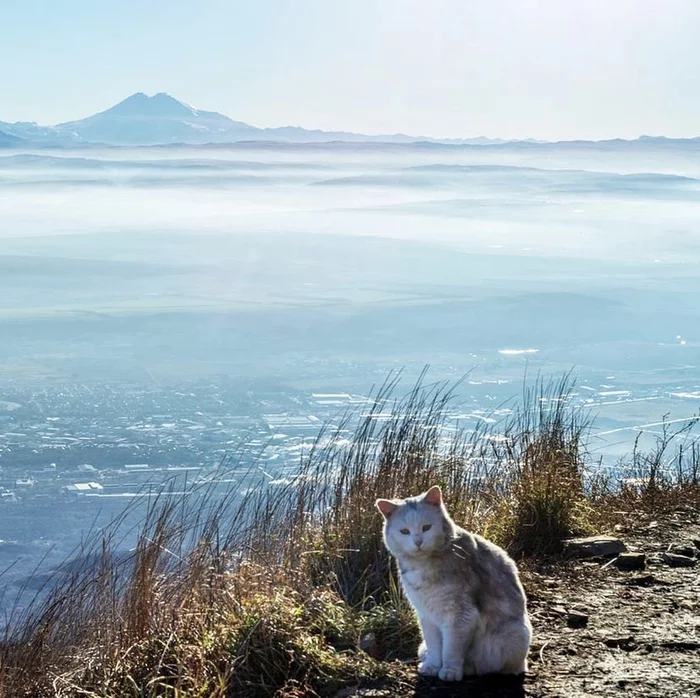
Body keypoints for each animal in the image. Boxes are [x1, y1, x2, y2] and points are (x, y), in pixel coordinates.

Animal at [378, 484, 532, 680]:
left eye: (426, 527)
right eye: (404, 531)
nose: (418, 542)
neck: (422, 565)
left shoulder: (460, 616)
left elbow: (451, 648)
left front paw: (450, 671)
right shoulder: (426, 615)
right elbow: (435, 646)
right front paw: (432, 666)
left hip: (511, 635)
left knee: (489, 666)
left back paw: (467, 668)